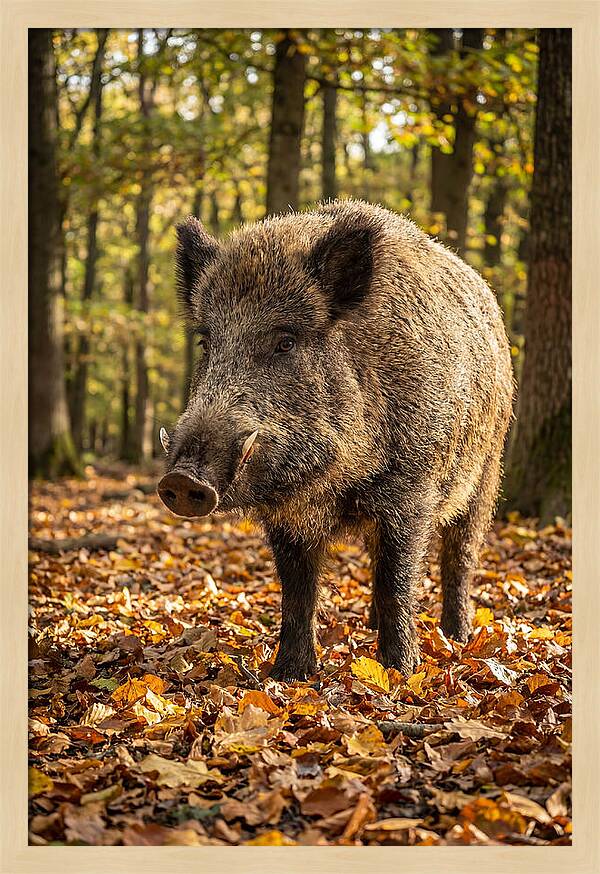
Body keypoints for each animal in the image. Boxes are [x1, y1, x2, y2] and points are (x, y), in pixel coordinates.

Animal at [157, 199, 513, 681]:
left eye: (285, 342)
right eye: (206, 342)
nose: (181, 480)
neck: (334, 482)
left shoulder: (411, 490)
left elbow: (397, 579)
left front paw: (399, 673)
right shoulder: (287, 516)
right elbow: (298, 589)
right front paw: (288, 675)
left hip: (487, 471)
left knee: (460, 556)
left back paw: (456, 637)